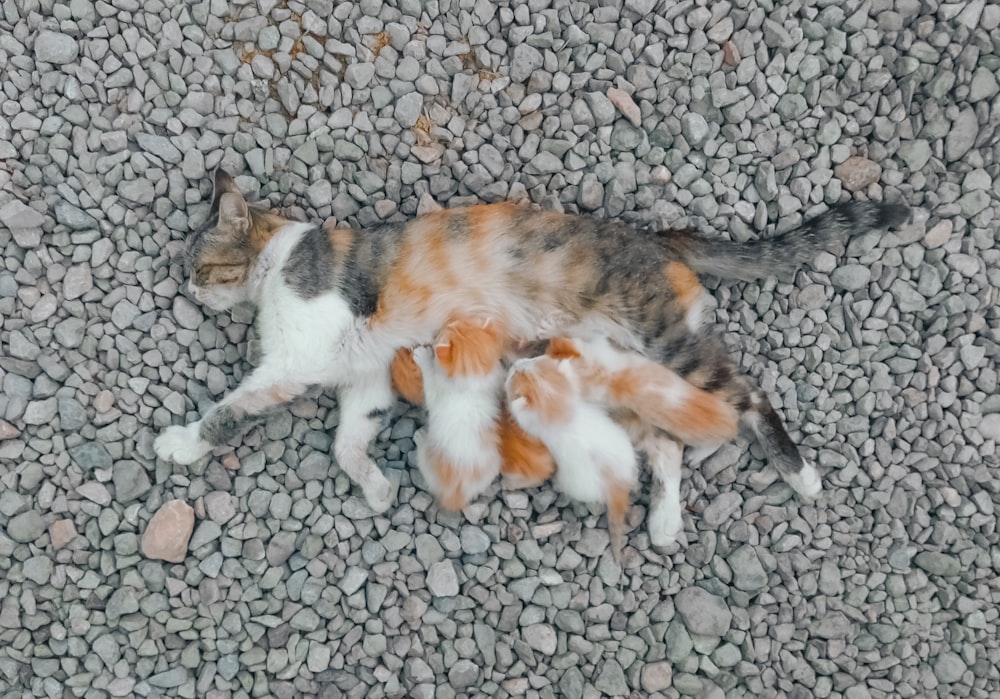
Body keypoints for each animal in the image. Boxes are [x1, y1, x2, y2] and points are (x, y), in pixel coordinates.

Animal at [152, 170, 912, 520]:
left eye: (199, 265)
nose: (183, 289)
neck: (280, 258)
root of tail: (662, 238)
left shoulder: (294, 361)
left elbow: (230, 410)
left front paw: (182, 442)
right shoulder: (362, 378)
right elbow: (348, 441)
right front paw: (374, 484)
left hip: (672, 346)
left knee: (748, 395)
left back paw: (801, 475)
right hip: (624, 371)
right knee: (666, 445)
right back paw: (665, 524)